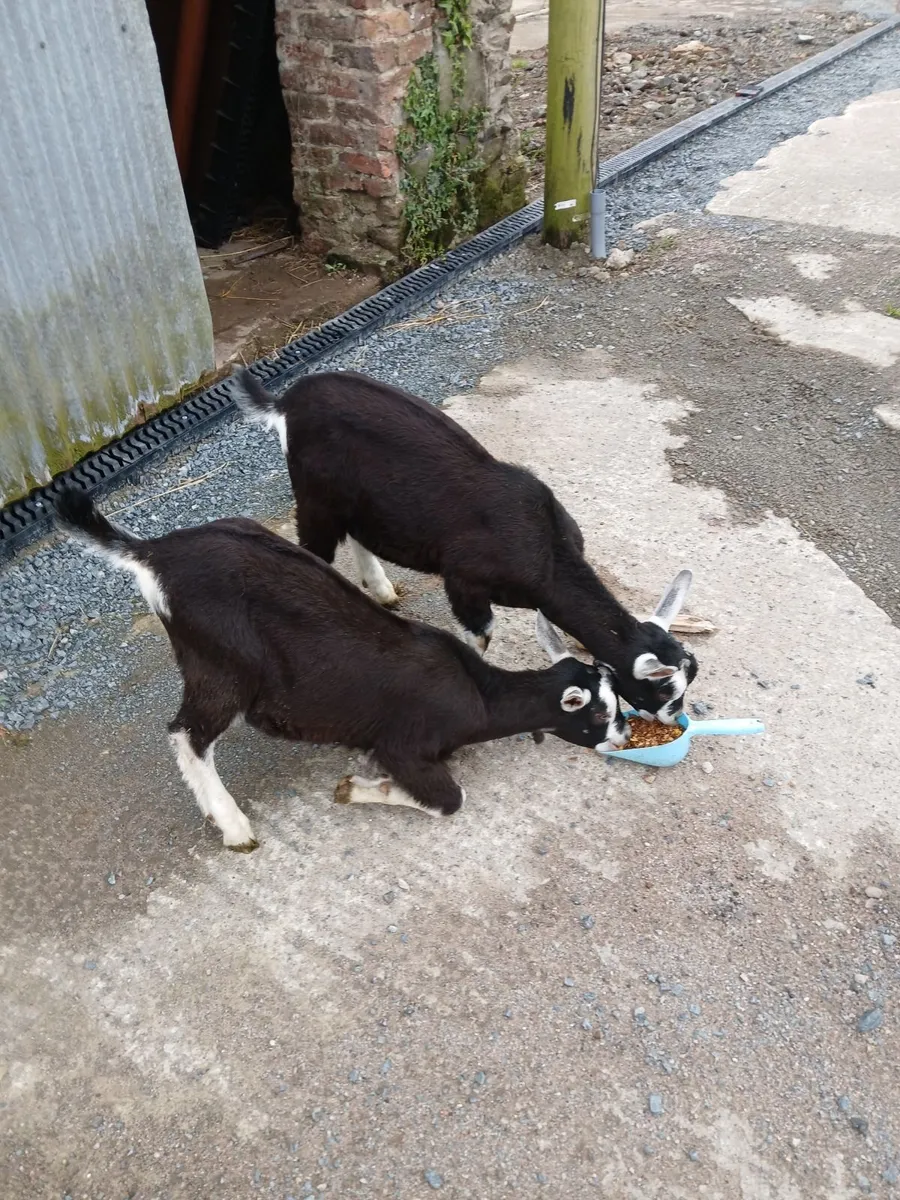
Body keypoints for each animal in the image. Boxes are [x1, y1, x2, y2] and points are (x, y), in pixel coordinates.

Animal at [55, 486, 628, 852]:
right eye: (599, 714)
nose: (624, 735)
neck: (480, 695)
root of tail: (152, 554)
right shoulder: (404, 744)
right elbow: (450, 799)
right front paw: (355, 789)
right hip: (220, 664)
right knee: (186, 733)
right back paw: (234, 826)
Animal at [234, 369, 698, 723]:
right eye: (661, 691)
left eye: (689, 679)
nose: (673, 717)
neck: (548, 552)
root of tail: (286, 402)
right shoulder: (464, 581)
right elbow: (481, 636)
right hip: (315, 498)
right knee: (315, 548)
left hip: (356, 502)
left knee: (357, 534)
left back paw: (380, 590)